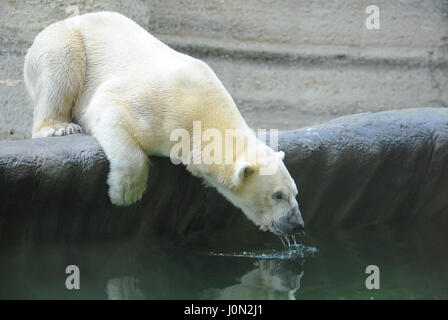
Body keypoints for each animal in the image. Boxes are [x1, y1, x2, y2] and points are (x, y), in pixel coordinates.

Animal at [24, 11, 304, 235]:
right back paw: (57, 127)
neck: (203, 110)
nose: (297, 225)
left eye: (295, 192)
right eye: (277, 195)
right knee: (60, 70)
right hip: (65, 42)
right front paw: (125, 194)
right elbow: (110, 108)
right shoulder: (159, 104)